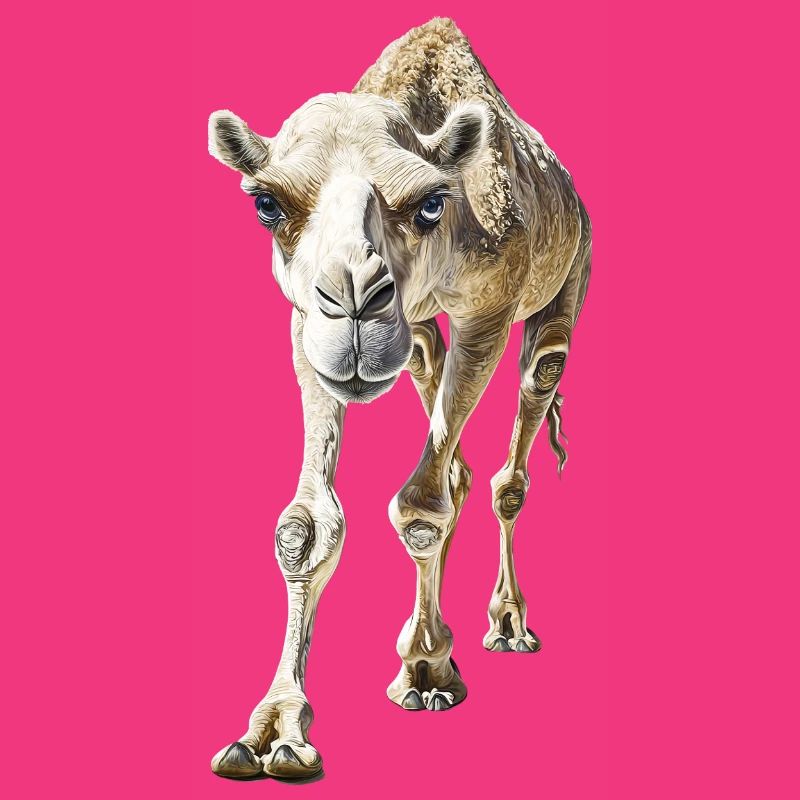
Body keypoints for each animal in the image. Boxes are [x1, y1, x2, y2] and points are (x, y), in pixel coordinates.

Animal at [207, 18, 591, 780]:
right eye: (267, 204)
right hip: (414, 336)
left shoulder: (487, 313)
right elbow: (306, 525)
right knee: (453, 451)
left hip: (569, 280)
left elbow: (419, 506)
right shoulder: (305, 324)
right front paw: (273, 731)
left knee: (525, 418)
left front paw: (426, 671)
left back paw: (507, 626)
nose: (354, 300)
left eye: (430, 202)